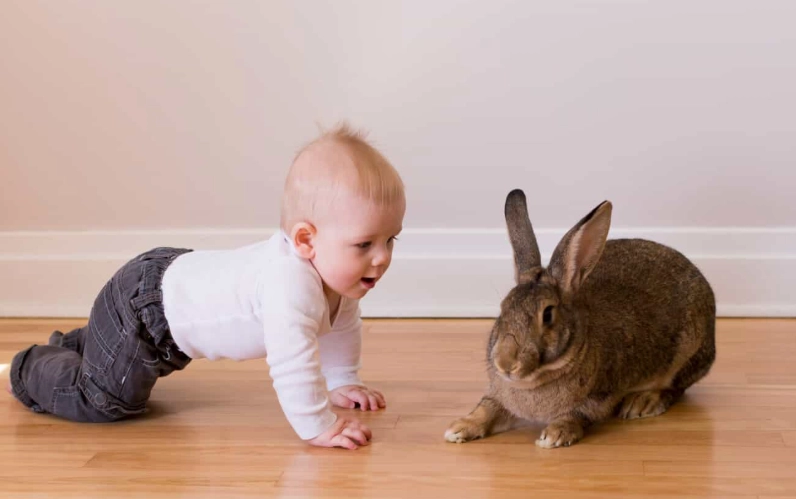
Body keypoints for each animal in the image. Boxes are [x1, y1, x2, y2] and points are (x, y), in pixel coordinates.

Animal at [444, 189, 716, 448]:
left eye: (548, 314)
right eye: (503, 308)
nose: (505, 363)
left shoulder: (598, 398)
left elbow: (576, 416)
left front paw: (554, 435)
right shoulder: (499, 397)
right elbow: (488, 408)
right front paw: (459, 428)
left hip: (688, 354)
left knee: (675, 388)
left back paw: (642, 402)